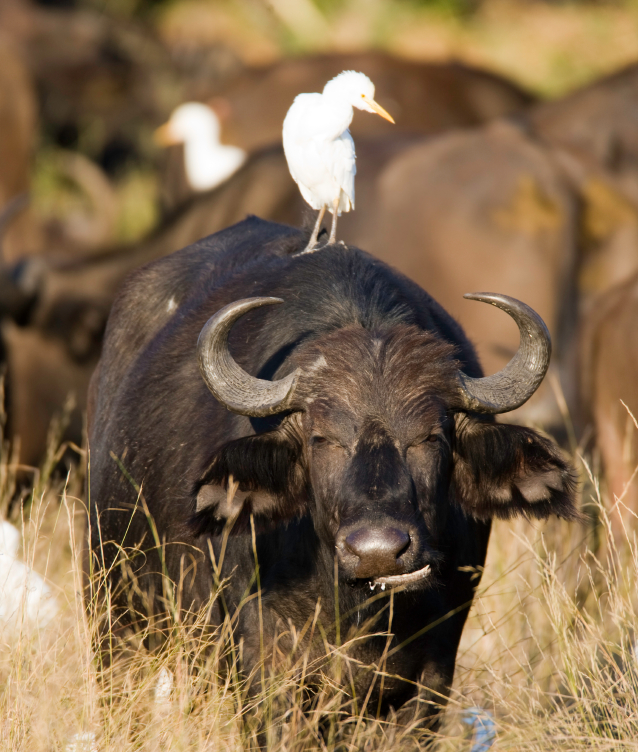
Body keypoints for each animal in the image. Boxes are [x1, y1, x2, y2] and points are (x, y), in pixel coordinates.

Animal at [87, 216, 584, 724]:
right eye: (322, 439)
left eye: (431, 437)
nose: (378, 552)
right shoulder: (267, 670)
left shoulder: (431, 677)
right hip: (117, 626)